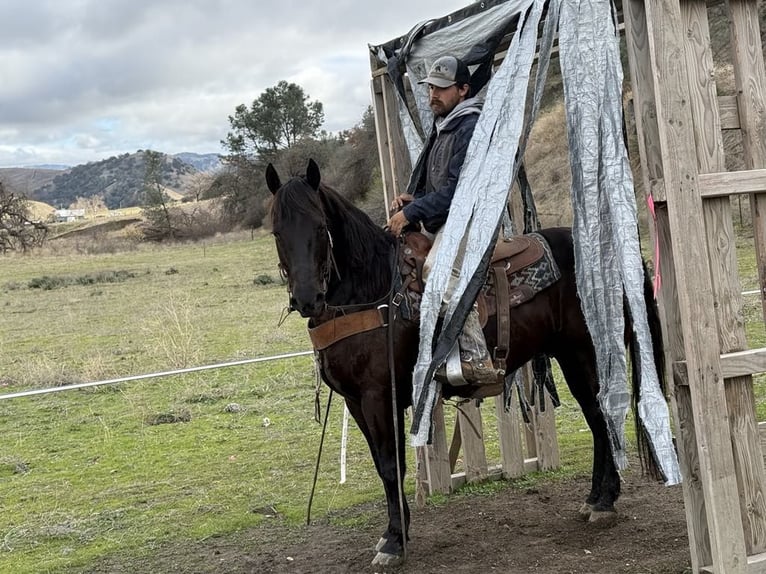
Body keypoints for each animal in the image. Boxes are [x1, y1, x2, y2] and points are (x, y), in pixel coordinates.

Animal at [268, 160, 668, 568]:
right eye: (277, 231)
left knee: (602, 416)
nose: (308, 300)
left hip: (585, 352)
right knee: (597, 419)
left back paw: (604, 503)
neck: (373, 292)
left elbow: (391, 465)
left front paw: (395, 542)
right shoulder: (355, 402)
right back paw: (595, 499)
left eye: (320, 227)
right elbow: (384, 465)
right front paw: (393, 534)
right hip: (570, 356)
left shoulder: (378, 397)